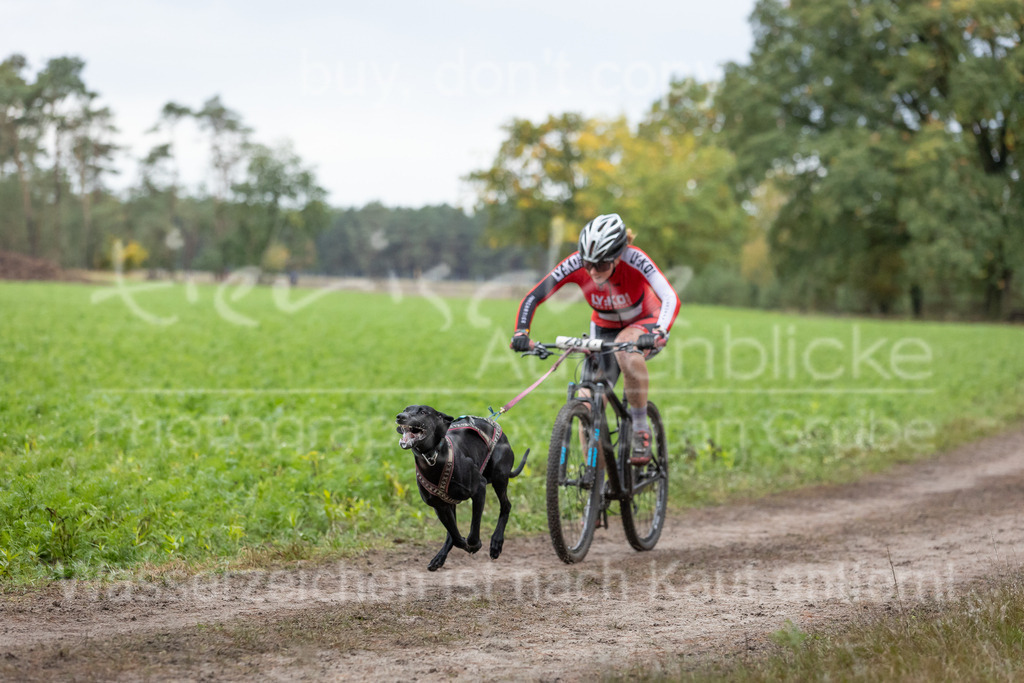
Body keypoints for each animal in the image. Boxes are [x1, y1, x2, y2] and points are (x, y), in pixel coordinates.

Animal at [395, 405, 528, 573]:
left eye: (423, 412)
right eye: (405, 409)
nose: (400, 416)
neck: (433, 458)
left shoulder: (479, 489)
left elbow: (473, 529)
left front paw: (474, 544)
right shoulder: (440, 506)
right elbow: (455, 536)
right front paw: (463, 545)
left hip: (499, 476)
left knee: (506, 506)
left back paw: (496, 543)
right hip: (452, 504)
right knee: (451, 533)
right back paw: (439, 558)